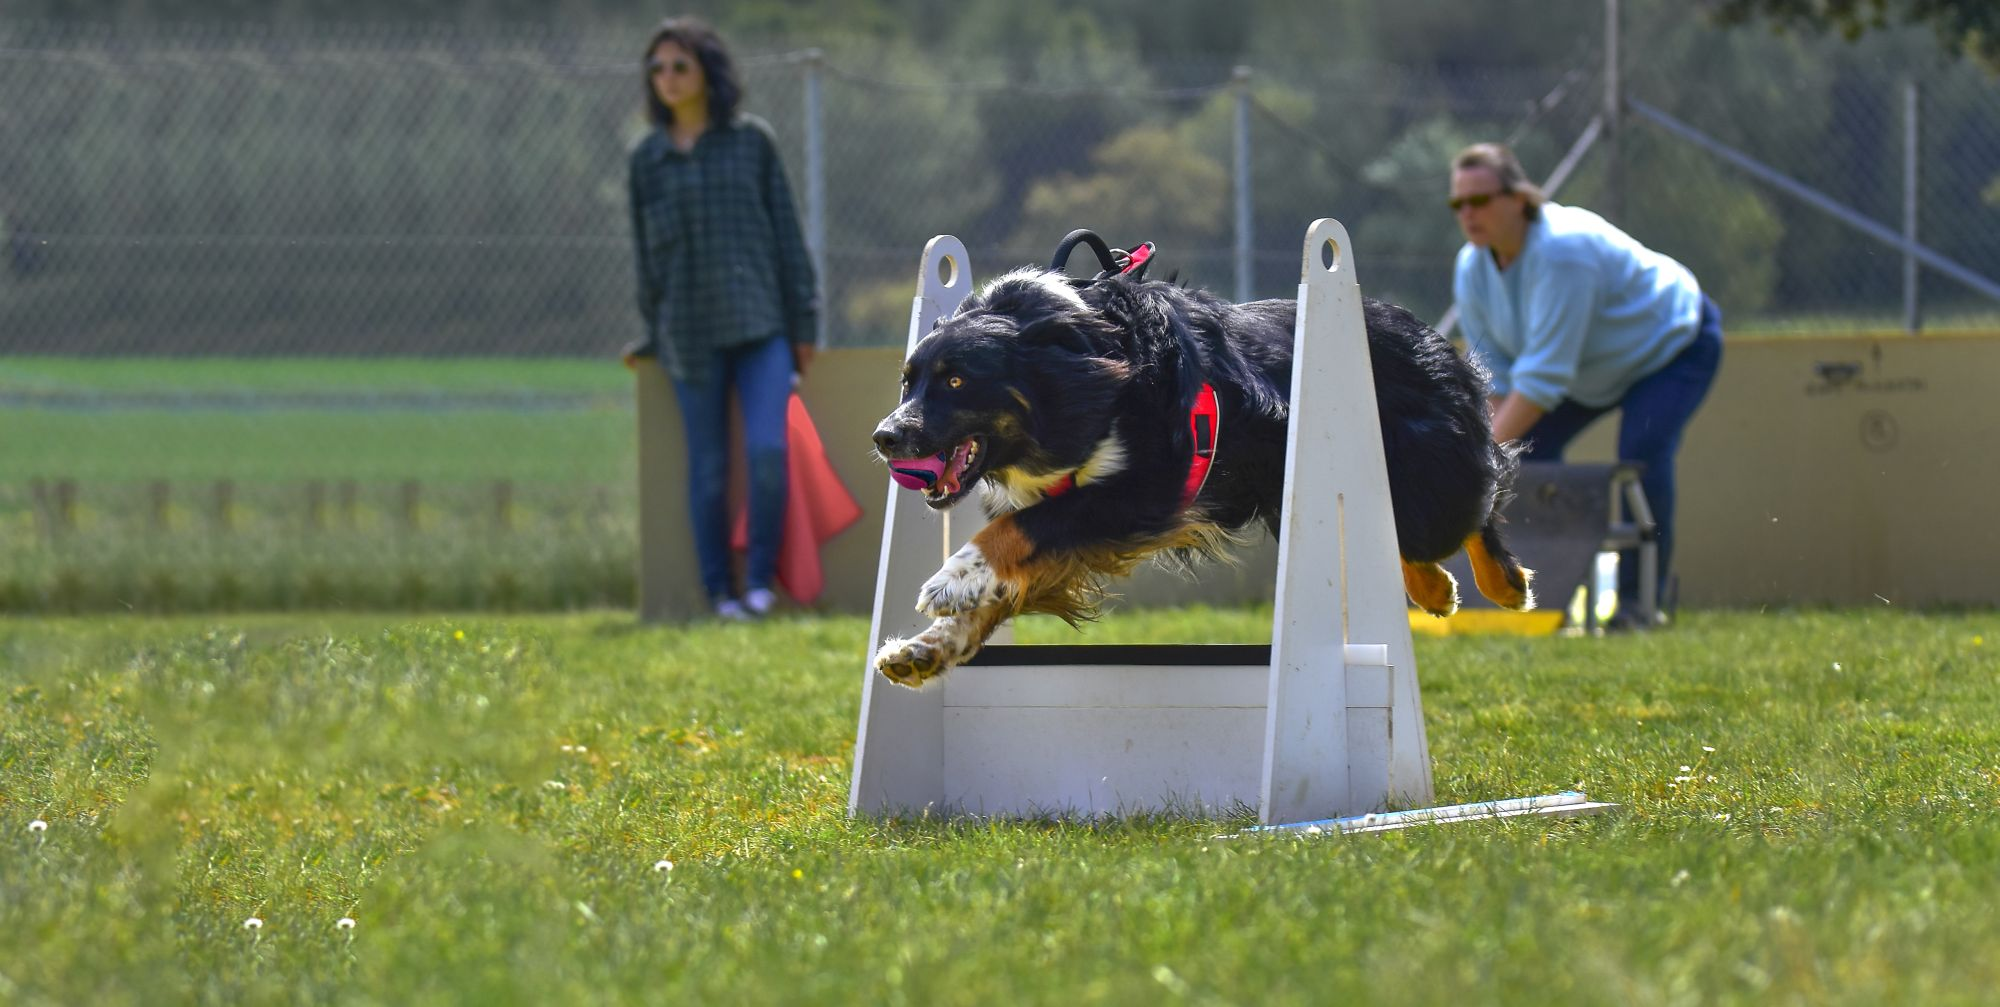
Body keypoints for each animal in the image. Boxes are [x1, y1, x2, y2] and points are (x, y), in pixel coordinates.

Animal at [864, 263, 1528, 687]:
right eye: (907, 382)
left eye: (956, 380)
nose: (885, 438)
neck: (1079, 362)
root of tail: (1425, 331)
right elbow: (1014, 568)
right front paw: (925, 650)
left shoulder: (1150, 487)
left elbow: (1023, 528)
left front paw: (951, 579)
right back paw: (1435, 590)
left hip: (1422, 480)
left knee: (1477, 497)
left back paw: (1502, 586)